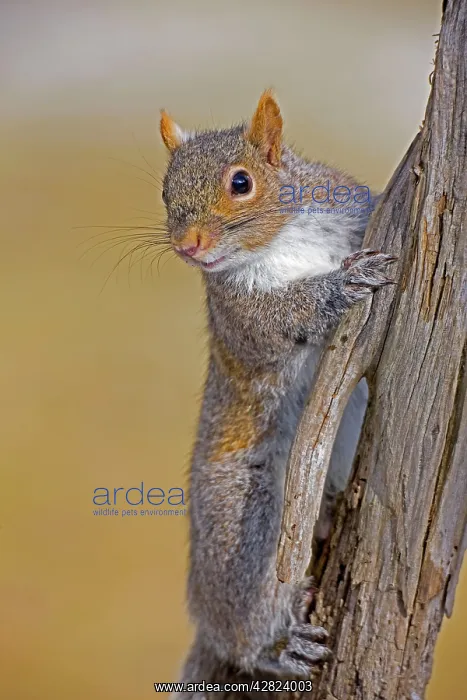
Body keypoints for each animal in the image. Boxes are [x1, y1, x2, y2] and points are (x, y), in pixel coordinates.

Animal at [159, 91, 395, 690]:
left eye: (241, 182)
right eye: (165, 193)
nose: (188, 247)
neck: (280, 240)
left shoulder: (353, 207)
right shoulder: (241, 317)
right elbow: (284, 317)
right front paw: (342, 284)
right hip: (246, 527)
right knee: (246, 625)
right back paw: (278, 648)